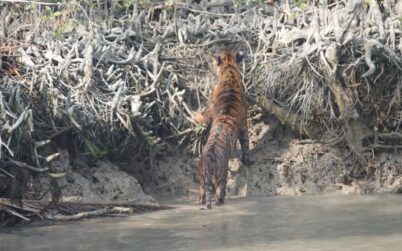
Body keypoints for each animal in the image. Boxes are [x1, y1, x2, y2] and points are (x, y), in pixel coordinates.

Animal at [194, 50, 251, 209]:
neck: (229, 73)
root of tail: (208, 157)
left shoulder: (209, 114)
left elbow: (201, 117)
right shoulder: (243, 124)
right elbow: (246, 143)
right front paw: (247, 160)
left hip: (204, 178)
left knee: (204, 193)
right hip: (220, 177)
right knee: (218, 193)